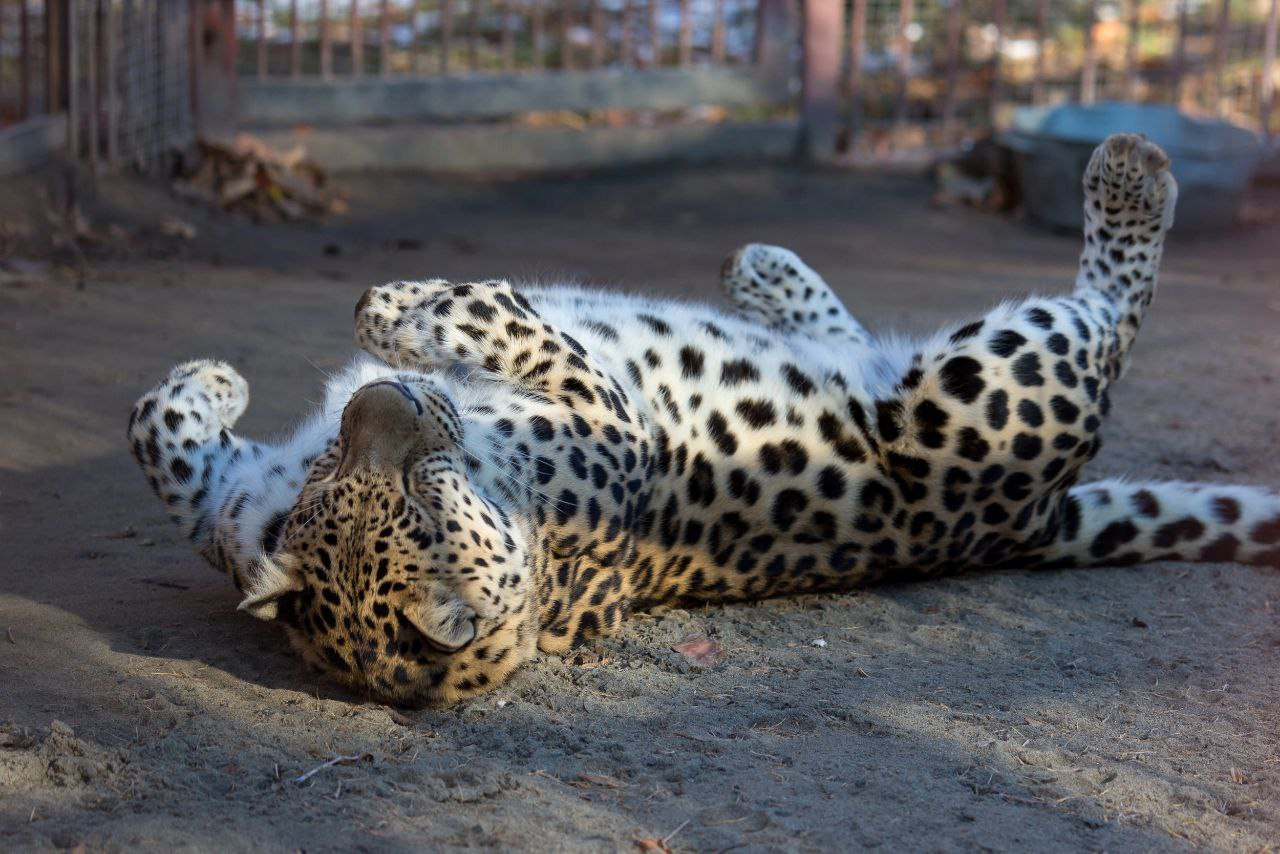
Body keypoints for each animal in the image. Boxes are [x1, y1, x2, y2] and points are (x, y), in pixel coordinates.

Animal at [127, 135, 1280, 706]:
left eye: (360, 476)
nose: (382, 398)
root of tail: (1027, 526)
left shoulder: (235, 502)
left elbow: (155, 426)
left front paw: (235, 369)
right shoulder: (614, 419)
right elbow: (516, 324)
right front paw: (383, 320)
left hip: (929, 381)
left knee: (863, 339)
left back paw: (763, 267)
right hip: (960, 395)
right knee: (1105, 324)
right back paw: (1130, 170)